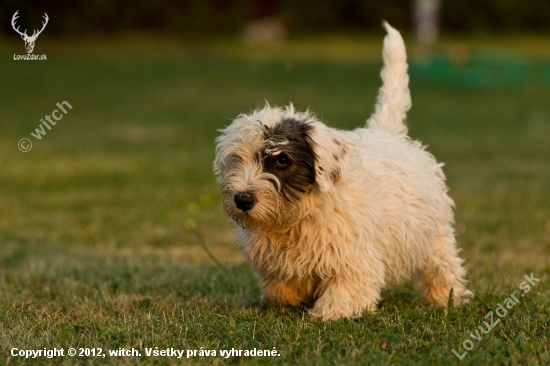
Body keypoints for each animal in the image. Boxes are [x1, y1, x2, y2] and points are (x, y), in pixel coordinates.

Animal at [213, 22, 472, 320]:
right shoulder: (273, 259)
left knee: (442, 267)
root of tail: (386, 131)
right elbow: (281, 286)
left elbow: (344, 294)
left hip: (434, 234)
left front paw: (328, 314)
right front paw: (293, 297)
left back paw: (445, 298)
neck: (299, 214)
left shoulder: (354, 257)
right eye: (237, 160)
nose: (242, 200)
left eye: (282, 160)